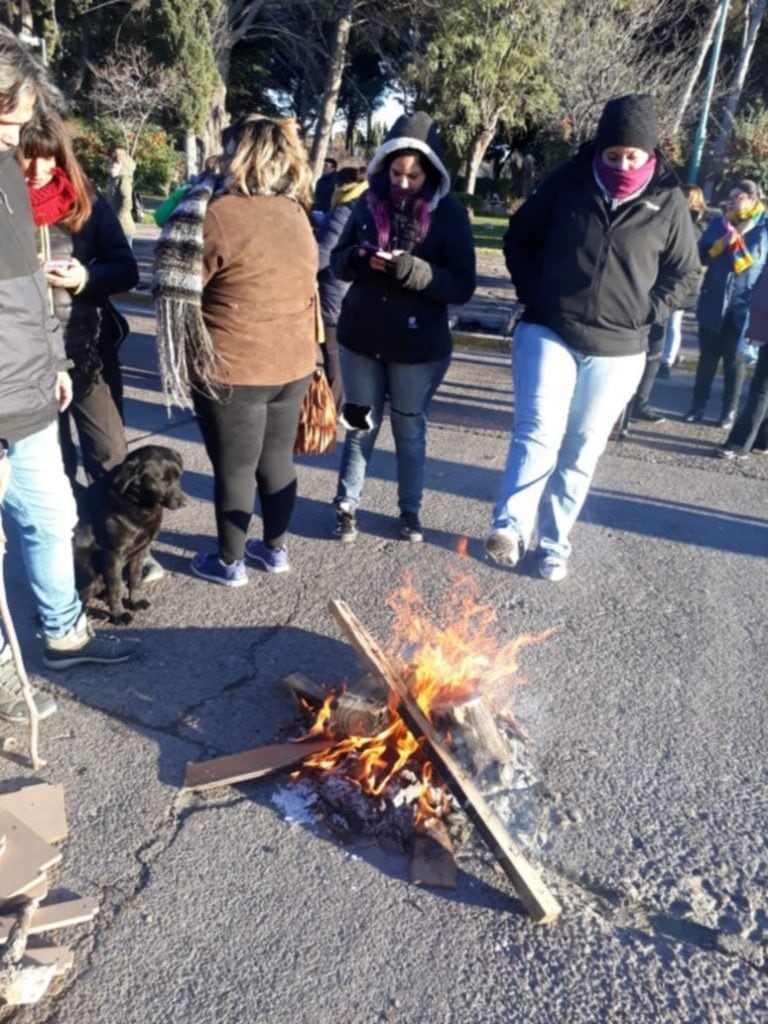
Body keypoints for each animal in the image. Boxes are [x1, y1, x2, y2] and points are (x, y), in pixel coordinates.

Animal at [73, 442, 186, 618]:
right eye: (162, 481)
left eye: (178, 477)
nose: (184, 502)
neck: (137, 501)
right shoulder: (113, 555)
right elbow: (116, 588)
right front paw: (119, 615)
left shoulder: (139, 551)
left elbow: (135, 580)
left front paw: (135, 602)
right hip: (88, 577)